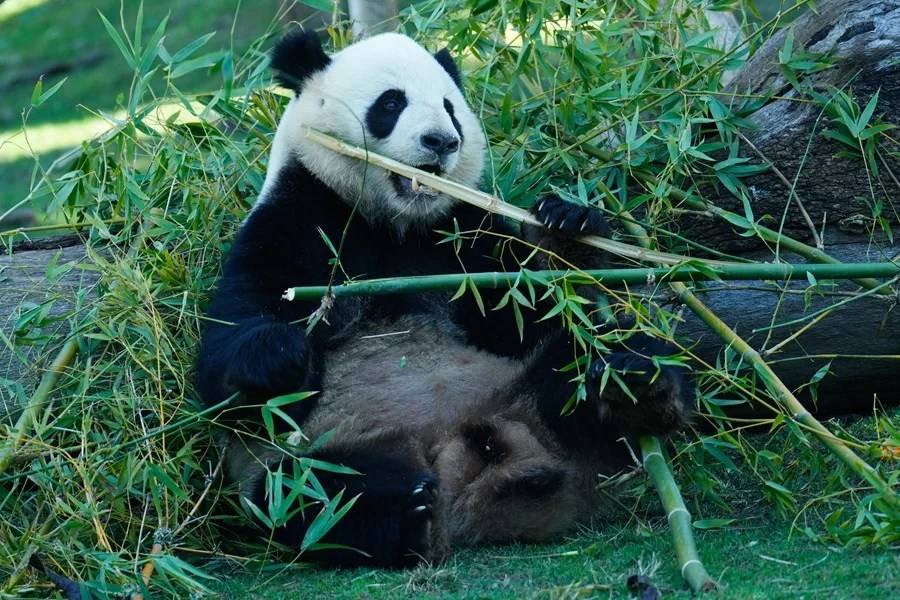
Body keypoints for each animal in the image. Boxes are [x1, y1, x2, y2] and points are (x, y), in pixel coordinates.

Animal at [197, 30, 693, 568]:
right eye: (391, 103)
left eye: (450, 108)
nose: (442, 141)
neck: (391, 223)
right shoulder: (296, 219)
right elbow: (231, 375)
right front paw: (280, 351)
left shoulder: (460, 239)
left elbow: (532, 311)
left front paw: (569, 225)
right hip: (320, 453)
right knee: (305, 493)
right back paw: (405, 512)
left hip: (527, 386)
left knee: (580, 363)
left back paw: (637, 383)